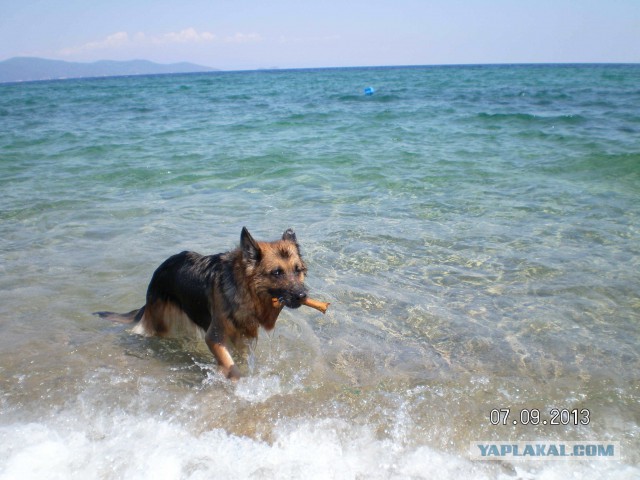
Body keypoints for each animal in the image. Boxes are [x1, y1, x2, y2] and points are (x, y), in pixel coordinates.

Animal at [95, 227, 312, 380]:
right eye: (277, 273)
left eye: (298, 270)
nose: (302, 295)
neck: (243, 289)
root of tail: (158, 272)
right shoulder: (214, 337)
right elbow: (231, 366)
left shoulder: (243, 340)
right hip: (160, 324)